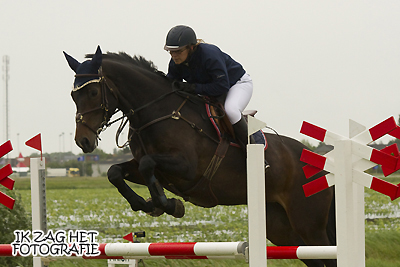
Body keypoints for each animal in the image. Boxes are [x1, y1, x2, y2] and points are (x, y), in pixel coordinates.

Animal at [64, 46, 336, 267]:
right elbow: (115, 172)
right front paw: (147, 204)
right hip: (282, 227)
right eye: (73, 95)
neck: (157, 112)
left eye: (93, 93)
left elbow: (147, 164)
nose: (83, 141)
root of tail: (321, 165)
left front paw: (169, 205)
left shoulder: (187, 168)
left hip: (309, 224)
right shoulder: (154, 169)